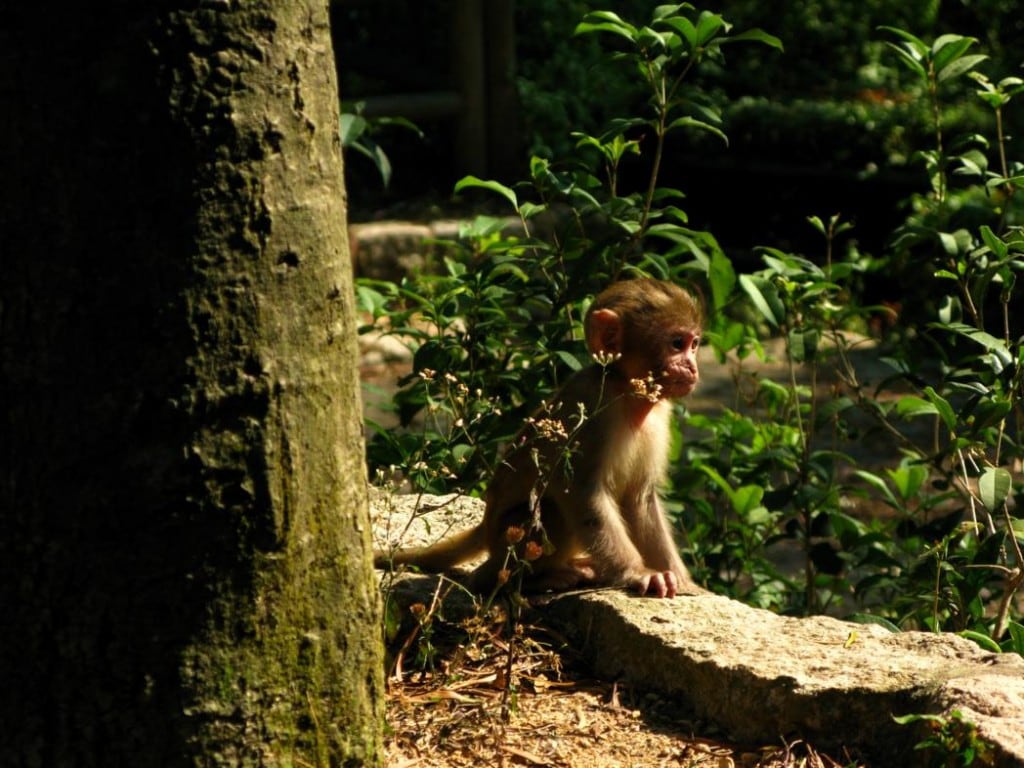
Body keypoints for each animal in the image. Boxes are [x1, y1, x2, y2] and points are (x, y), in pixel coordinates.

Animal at [376, 280, 704, 598]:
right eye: (677, 344)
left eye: (694, 344)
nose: (692, 366)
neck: (625, 390)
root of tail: (486, 527)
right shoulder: (592, 408)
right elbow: (583, 494)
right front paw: (638, 573)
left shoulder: (659, 416)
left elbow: (640, 498)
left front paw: (680, 578)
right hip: (508, 536)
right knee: (549, 508)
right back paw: (514, 579)